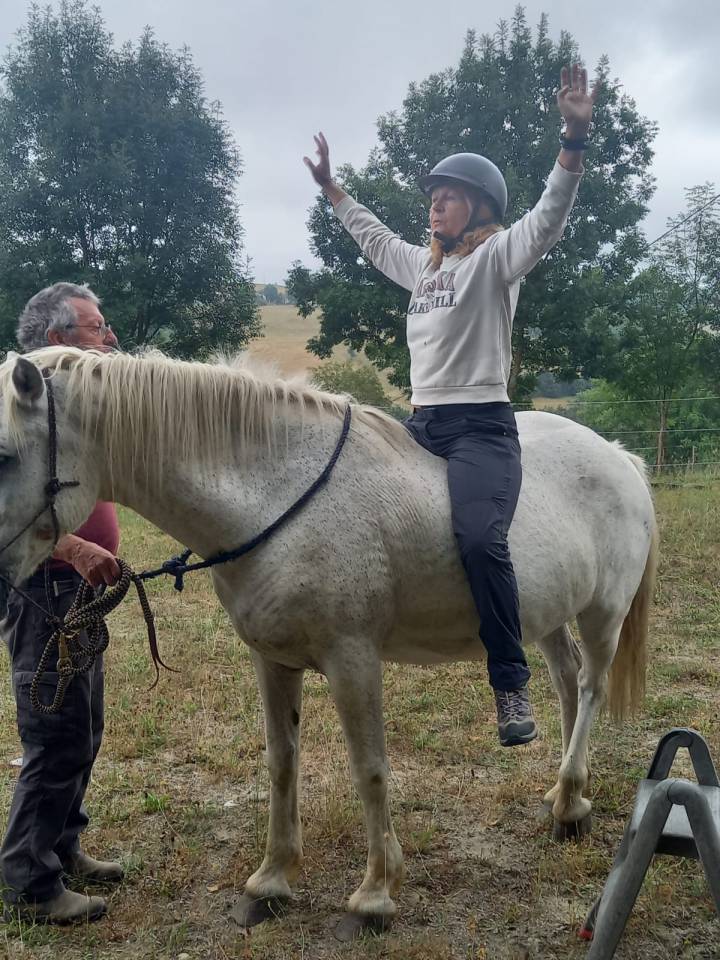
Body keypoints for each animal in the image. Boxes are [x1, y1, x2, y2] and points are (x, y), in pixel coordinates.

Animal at [0, 347, 657, 938]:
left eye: (5, 454)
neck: (275, 493)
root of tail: (620, 458)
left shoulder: (352, 659)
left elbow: (370, 769)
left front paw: (375, 895)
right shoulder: (272, 660)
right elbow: (282, 762)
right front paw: (270, 881)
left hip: (603, 613)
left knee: (591, 686)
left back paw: (570, 804)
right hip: (542, 617)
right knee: (566, 680)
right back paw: (565, 792)